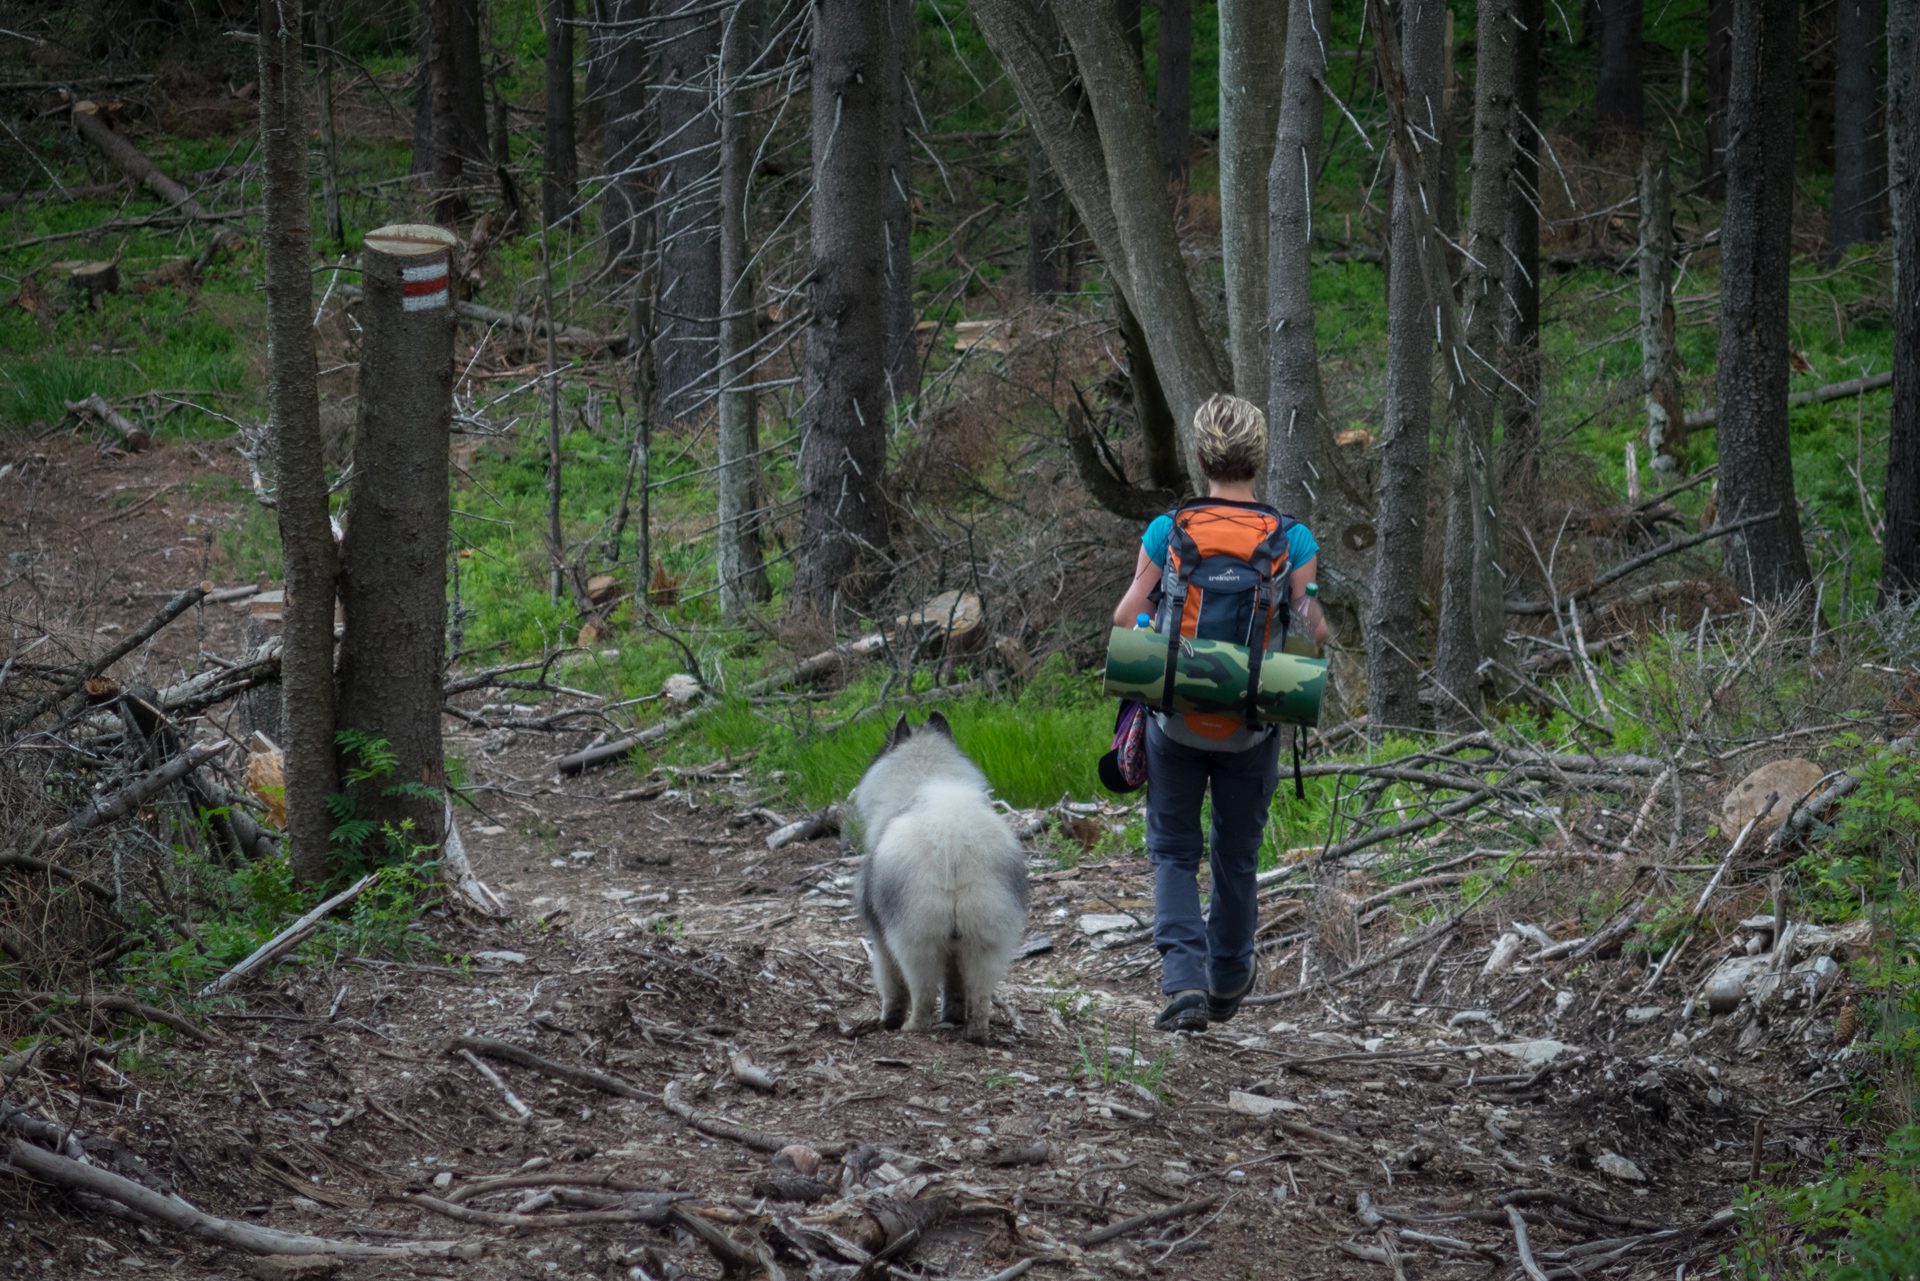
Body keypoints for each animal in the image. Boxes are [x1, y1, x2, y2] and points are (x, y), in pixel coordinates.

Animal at [860, 710, 1036, 1044]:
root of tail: (952, 837)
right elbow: (954, 985)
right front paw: (953, 1017)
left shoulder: (880, 935)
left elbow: (891, 983)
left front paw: (888, 1020)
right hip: (986, 938)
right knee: (978, 994)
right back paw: (974, 1033)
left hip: (914, 938)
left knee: (922, 992)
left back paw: (911, 1028)